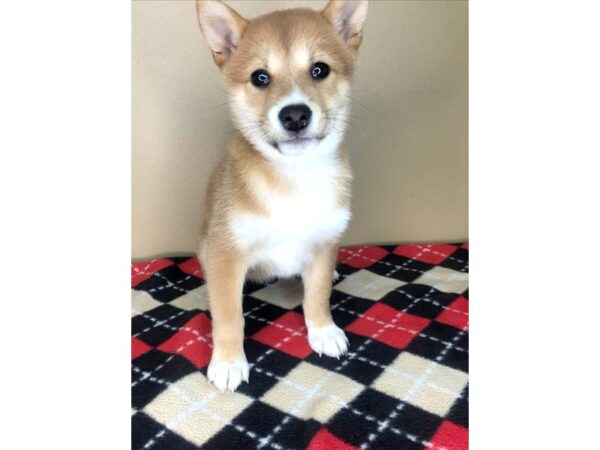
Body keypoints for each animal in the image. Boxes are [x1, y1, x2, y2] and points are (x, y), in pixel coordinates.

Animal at [195, 0, 368, 390]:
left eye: (319, 69)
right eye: (261, 77)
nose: (295, 115)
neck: (295, 177)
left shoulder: (324, 243)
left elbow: (317, 296)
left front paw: (323, 331)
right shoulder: (226, 251)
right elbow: (229, 315)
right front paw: (228, 361)